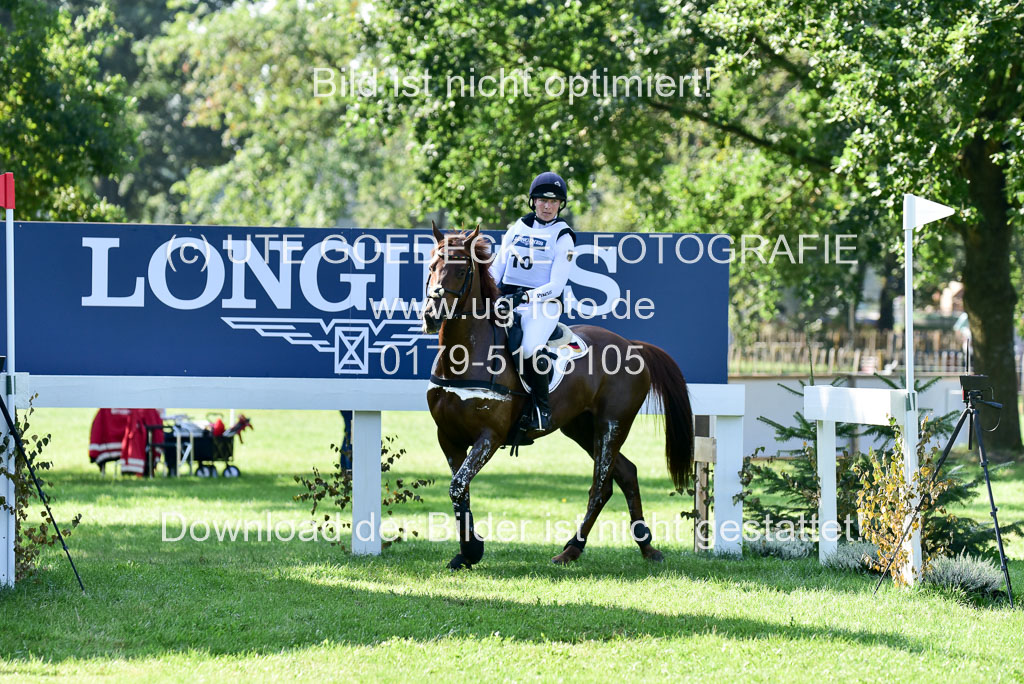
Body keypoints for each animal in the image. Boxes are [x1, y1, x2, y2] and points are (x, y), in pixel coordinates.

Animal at [419, 227, 692, 569]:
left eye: (461, 270)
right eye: (431, 266)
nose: (431, 316)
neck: (465, 357)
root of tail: (632, 345)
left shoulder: (489, 438)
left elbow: (458, 487)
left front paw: (472, 550)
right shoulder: (448, 437)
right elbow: (461, 491)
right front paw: (466, 552)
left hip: (611, 425)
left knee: (600, 485)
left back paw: (573, 548)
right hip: (581, 428)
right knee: (626, 474)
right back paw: (642, 547)